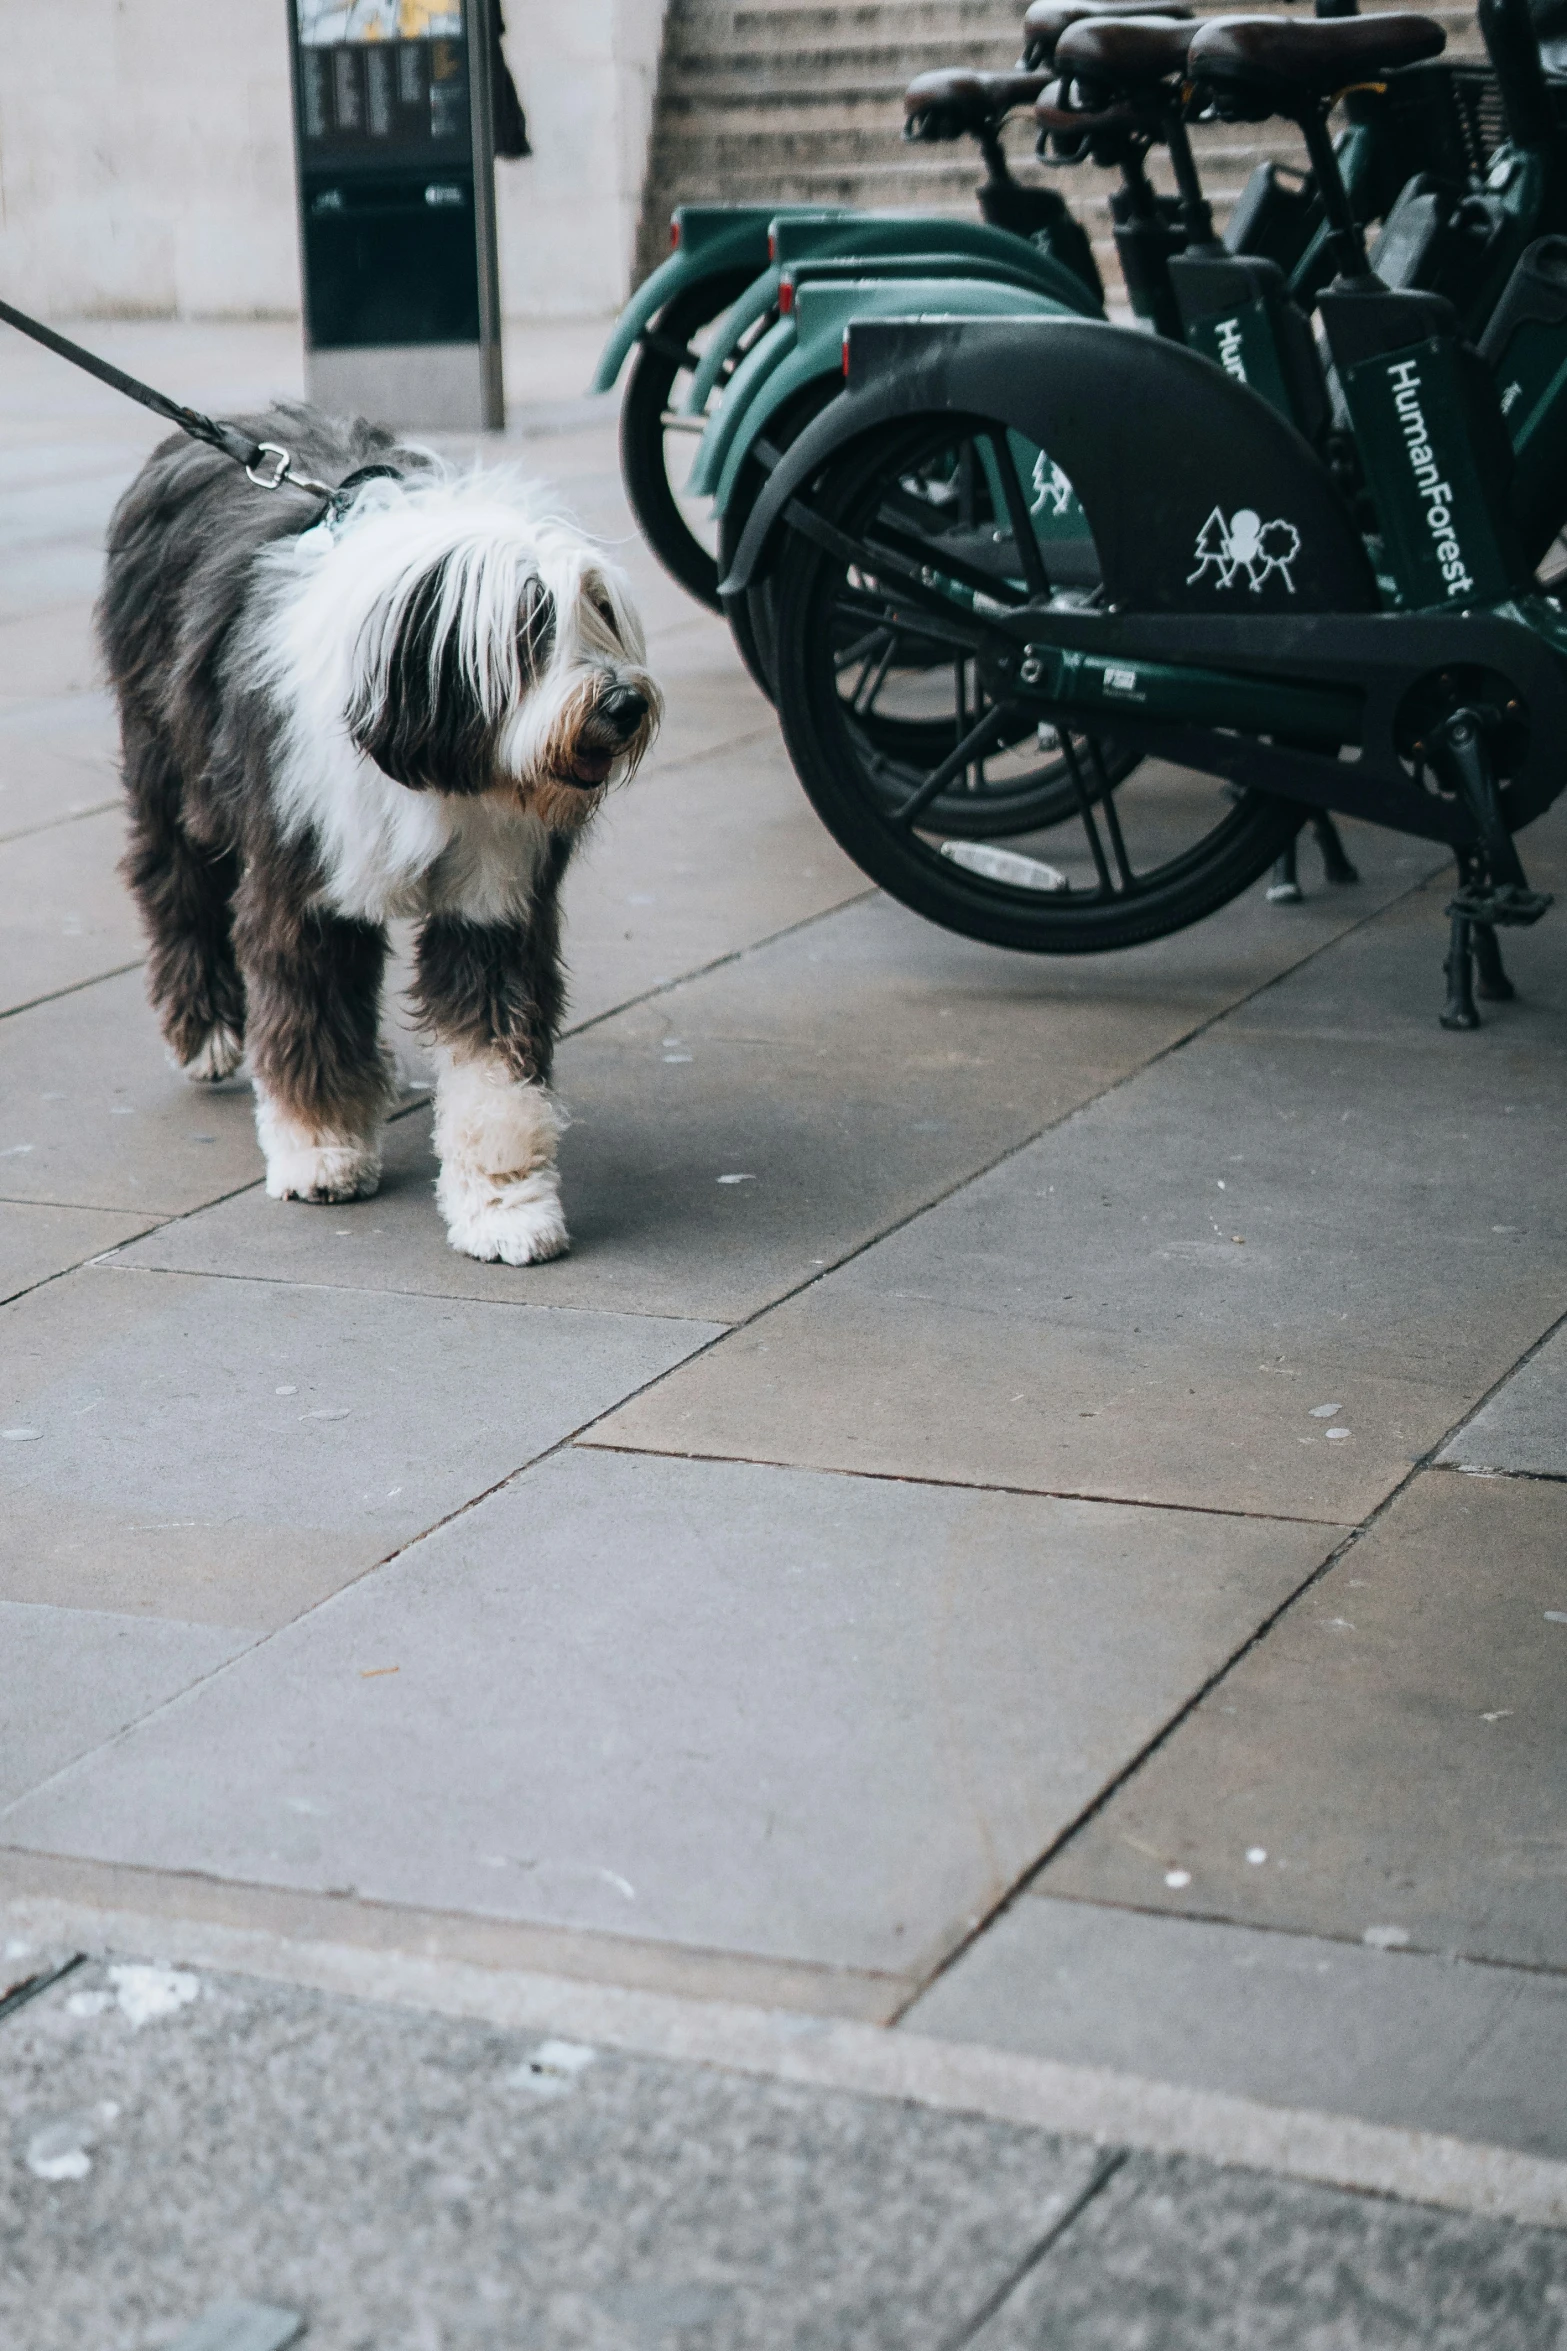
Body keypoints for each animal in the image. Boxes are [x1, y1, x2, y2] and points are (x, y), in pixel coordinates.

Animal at [96, 399, 662, 1269]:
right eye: (531, 624)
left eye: (600, 608)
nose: (625, 704)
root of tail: (225, 422)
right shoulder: (307, 879)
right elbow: (309, 1013)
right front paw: (321, 1148)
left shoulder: (493, 902)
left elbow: (493, 1066)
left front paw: (505, 1202)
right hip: (169, 759)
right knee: (173, 884)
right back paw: (205, 1028)